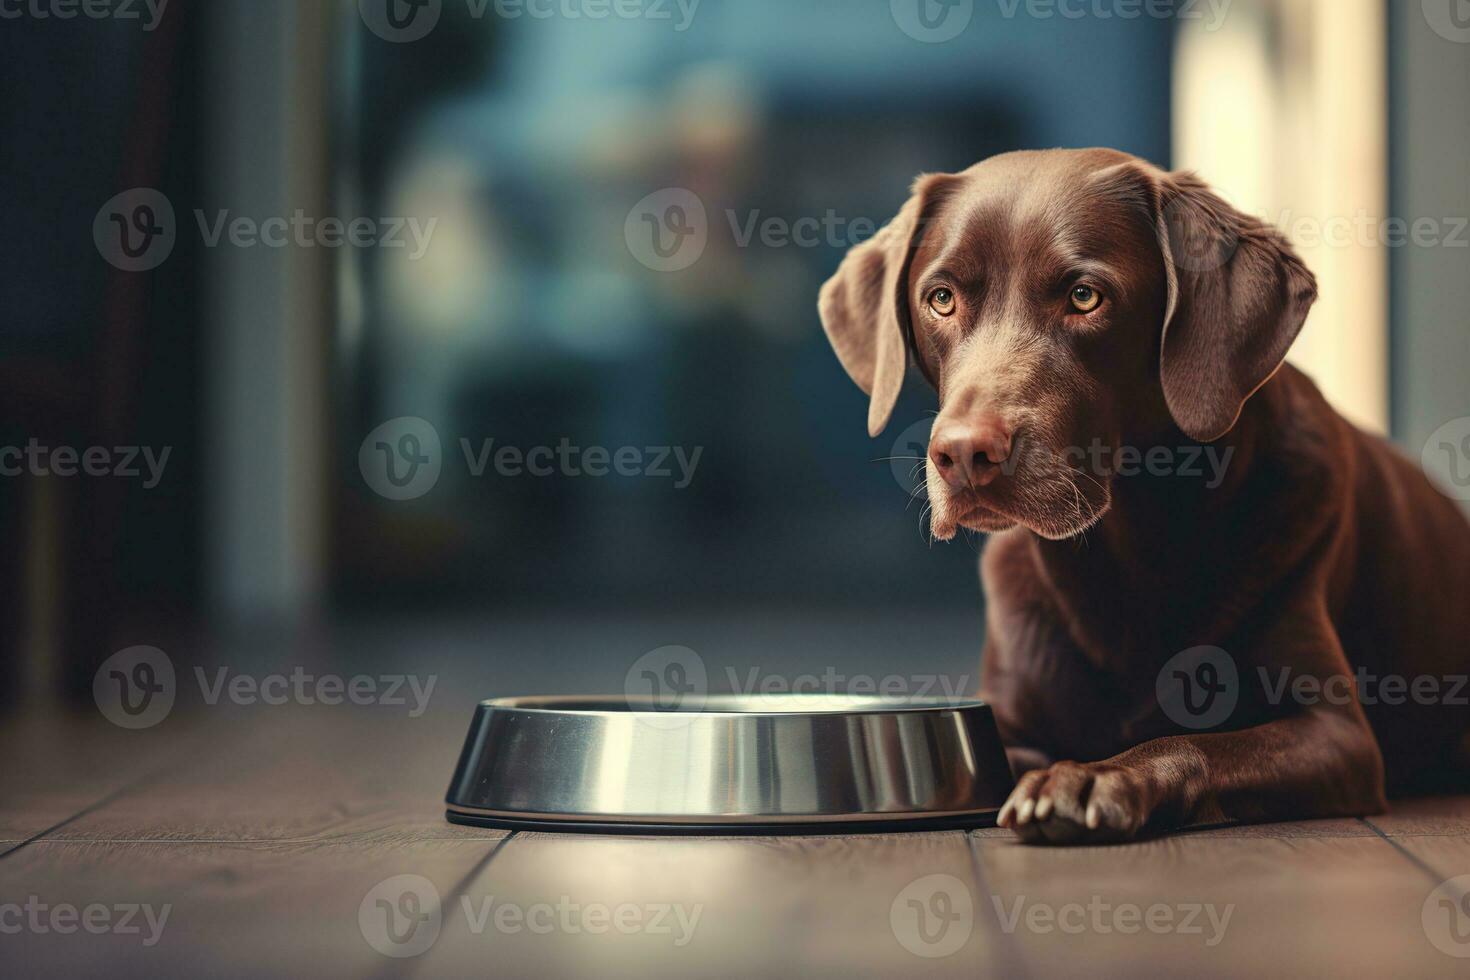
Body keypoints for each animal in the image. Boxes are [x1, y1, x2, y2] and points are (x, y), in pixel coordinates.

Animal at [817, 145, 1470, 846]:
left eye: (1084, 296)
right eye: (941, 299)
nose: (965, 453)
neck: (1128, 552)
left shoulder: (1336, 732)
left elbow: (1198, 743)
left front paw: (1095, 777)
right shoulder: (1005, 730)